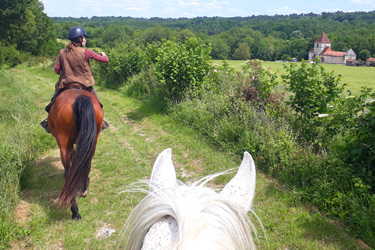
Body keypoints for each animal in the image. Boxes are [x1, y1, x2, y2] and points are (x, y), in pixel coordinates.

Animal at [48, 88, 104, 221]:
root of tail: (80, 97)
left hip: (63, 142)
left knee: (69, 173)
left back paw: (74, 211)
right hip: (93, 140)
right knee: (86, 164)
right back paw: (82, 191)